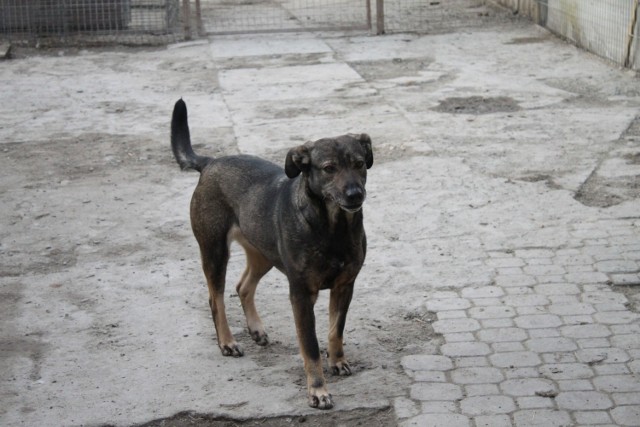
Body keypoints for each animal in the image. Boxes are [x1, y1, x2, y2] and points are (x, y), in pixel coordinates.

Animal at [170, 98, 372, 410]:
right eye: (329, 168)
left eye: (359, 164)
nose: (355, 194)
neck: (332, 227)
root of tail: (210, 163)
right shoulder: (301, 295)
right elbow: (311, 347)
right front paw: (318, 391)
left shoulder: (345, 286)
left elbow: (335, 331)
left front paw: (337, 361)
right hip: (214, 250)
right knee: (216, 298)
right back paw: (227, 342)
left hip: (262, 253)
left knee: (243, 286)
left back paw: (256, 330)